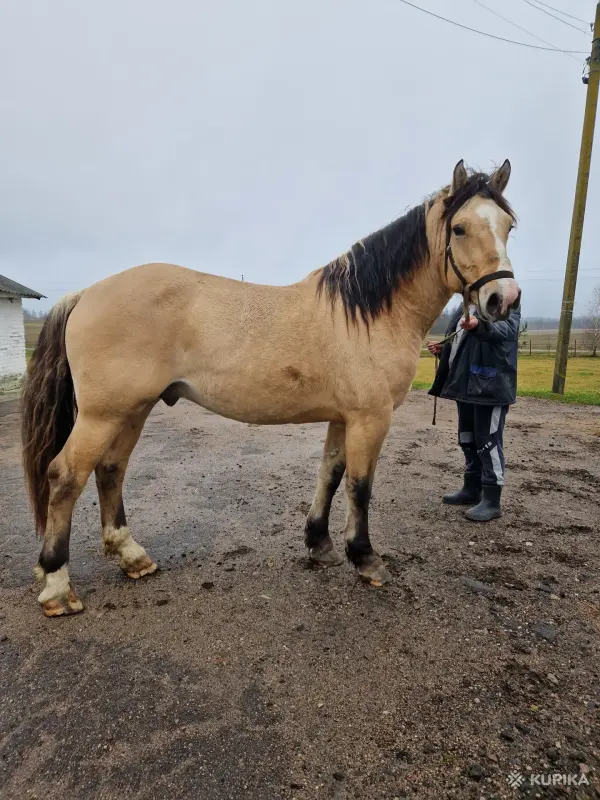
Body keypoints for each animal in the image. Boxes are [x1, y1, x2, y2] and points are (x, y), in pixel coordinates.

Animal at [21, 159, 520, 617]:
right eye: (459, 228)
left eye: (509, 226)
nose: (504, 300)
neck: (366, 313)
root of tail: (86, 293)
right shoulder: (370, 418)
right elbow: (360, 486)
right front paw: (366, 558)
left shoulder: (344, 418)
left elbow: (330, 475)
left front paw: (319, 545)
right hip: (103, 414)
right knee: (65, 476)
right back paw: (57, 585)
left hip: (133, 409)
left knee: (110, 470)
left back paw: (131, 557)